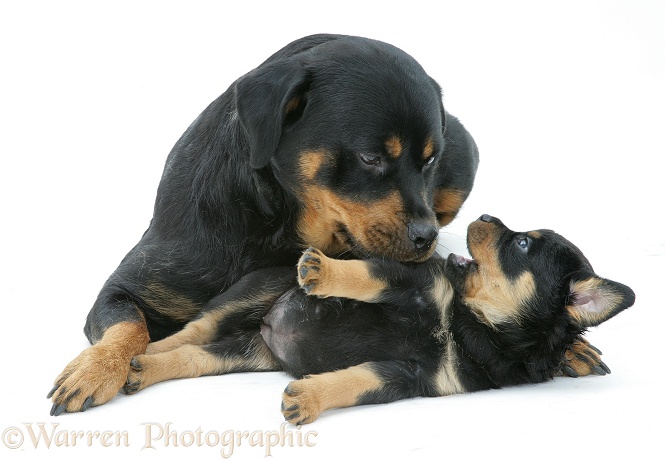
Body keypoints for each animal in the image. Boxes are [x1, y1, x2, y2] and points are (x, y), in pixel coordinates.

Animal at [50, 33, 478, 414]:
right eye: (370, 158)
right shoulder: (127, 286)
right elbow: (128, 326)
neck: (274, 226)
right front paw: (97, 368)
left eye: (430, 160)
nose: (427, 237)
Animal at [120, 216, 632, 424]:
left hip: (247, 354)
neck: (473, 325)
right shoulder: (406, 282)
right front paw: (323, 270)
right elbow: (363, 275)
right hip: (252, 294)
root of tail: (266, 329)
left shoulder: (410, 378)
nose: (485, 214)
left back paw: (145, 368)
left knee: (195, 356)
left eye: (522, 244)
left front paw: (308, 398)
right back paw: (134, 353)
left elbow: (356, 380)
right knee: (192, 330)